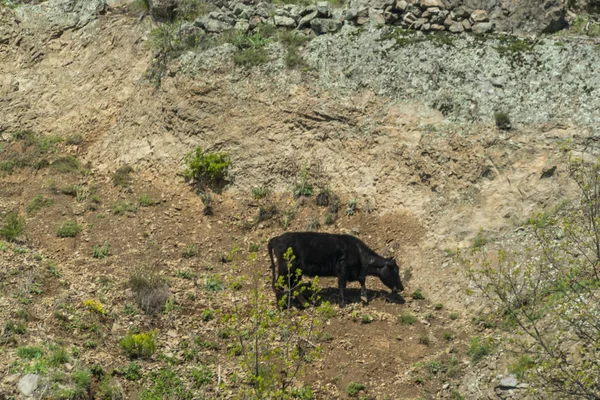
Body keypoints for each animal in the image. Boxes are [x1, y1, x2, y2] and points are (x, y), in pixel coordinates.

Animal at [266, 231, 404, 306]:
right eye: (396, 270)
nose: (402, 287)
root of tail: (277, 238)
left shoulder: (354, 272)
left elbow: (362, 280)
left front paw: (364, 296)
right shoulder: (343, 269)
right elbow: (342, 286)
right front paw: (342, 304)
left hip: (295, 271)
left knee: (293, 285)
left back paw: (305, 304)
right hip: (285, 268)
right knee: (279, 285)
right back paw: (281, 306)